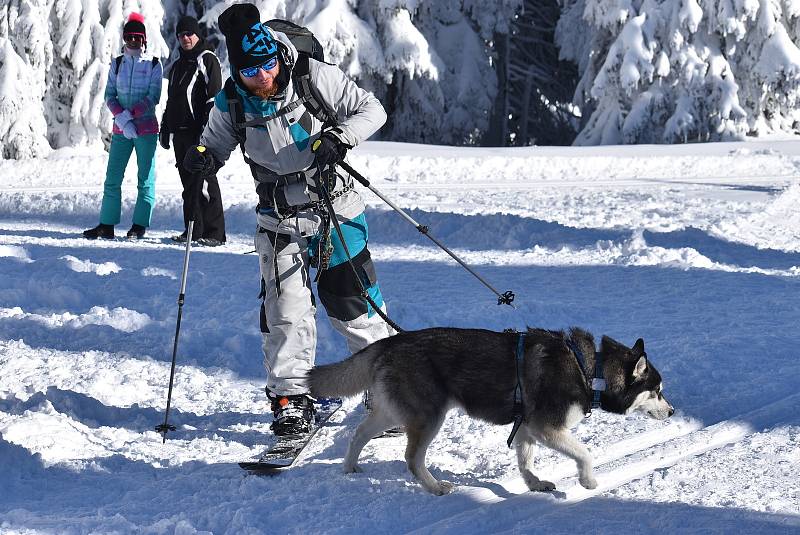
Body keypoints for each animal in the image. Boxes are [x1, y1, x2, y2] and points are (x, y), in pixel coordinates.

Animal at [310, 324, 672, 496]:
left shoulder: (527, 427)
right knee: (412, 458)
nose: (671, 412)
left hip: (392, 412)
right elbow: (585, 453)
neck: (589, 370)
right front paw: (588, 481)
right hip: (429, 417)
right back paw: (435, 487)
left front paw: (535, 484)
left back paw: (349, 467)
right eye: (656, 391)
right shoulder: (548, 428)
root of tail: (390, 341)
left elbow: (525, 462)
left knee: (358, 434)